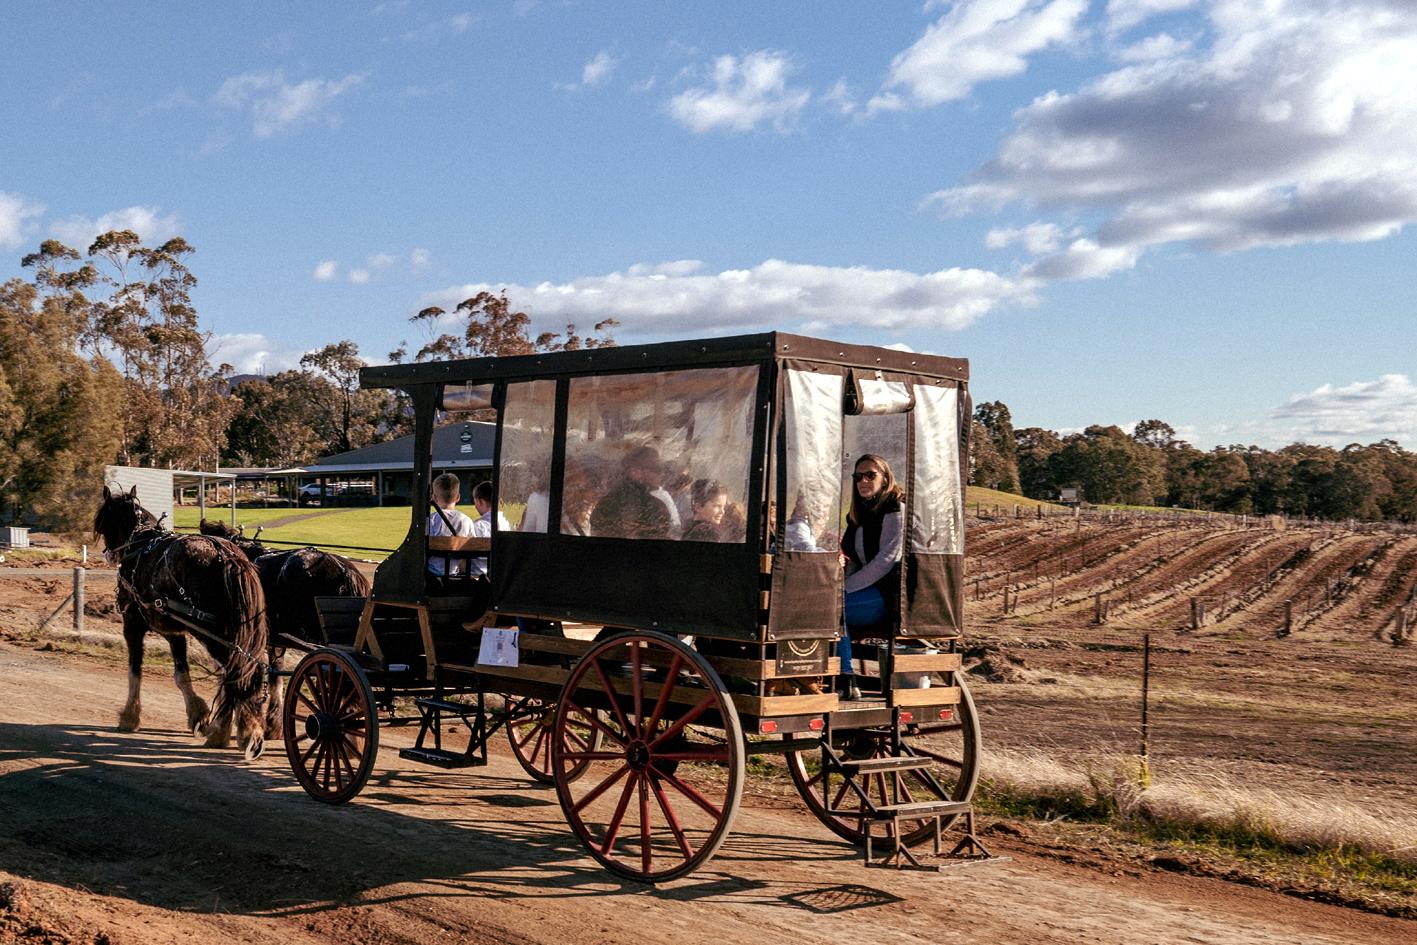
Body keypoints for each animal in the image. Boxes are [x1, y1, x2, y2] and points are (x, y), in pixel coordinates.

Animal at [96, 487, 270, 759]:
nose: (109, 554)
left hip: (212, 632)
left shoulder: (132, 625)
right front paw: (198, 715)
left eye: (104, 522)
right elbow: (181, 674)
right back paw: (243, 731)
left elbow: (134, 671)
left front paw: (129, 716)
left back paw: (232, 732)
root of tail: (227, 556)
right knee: (247, 669)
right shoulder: (174, 631)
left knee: (236, 672)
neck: (140, 545)